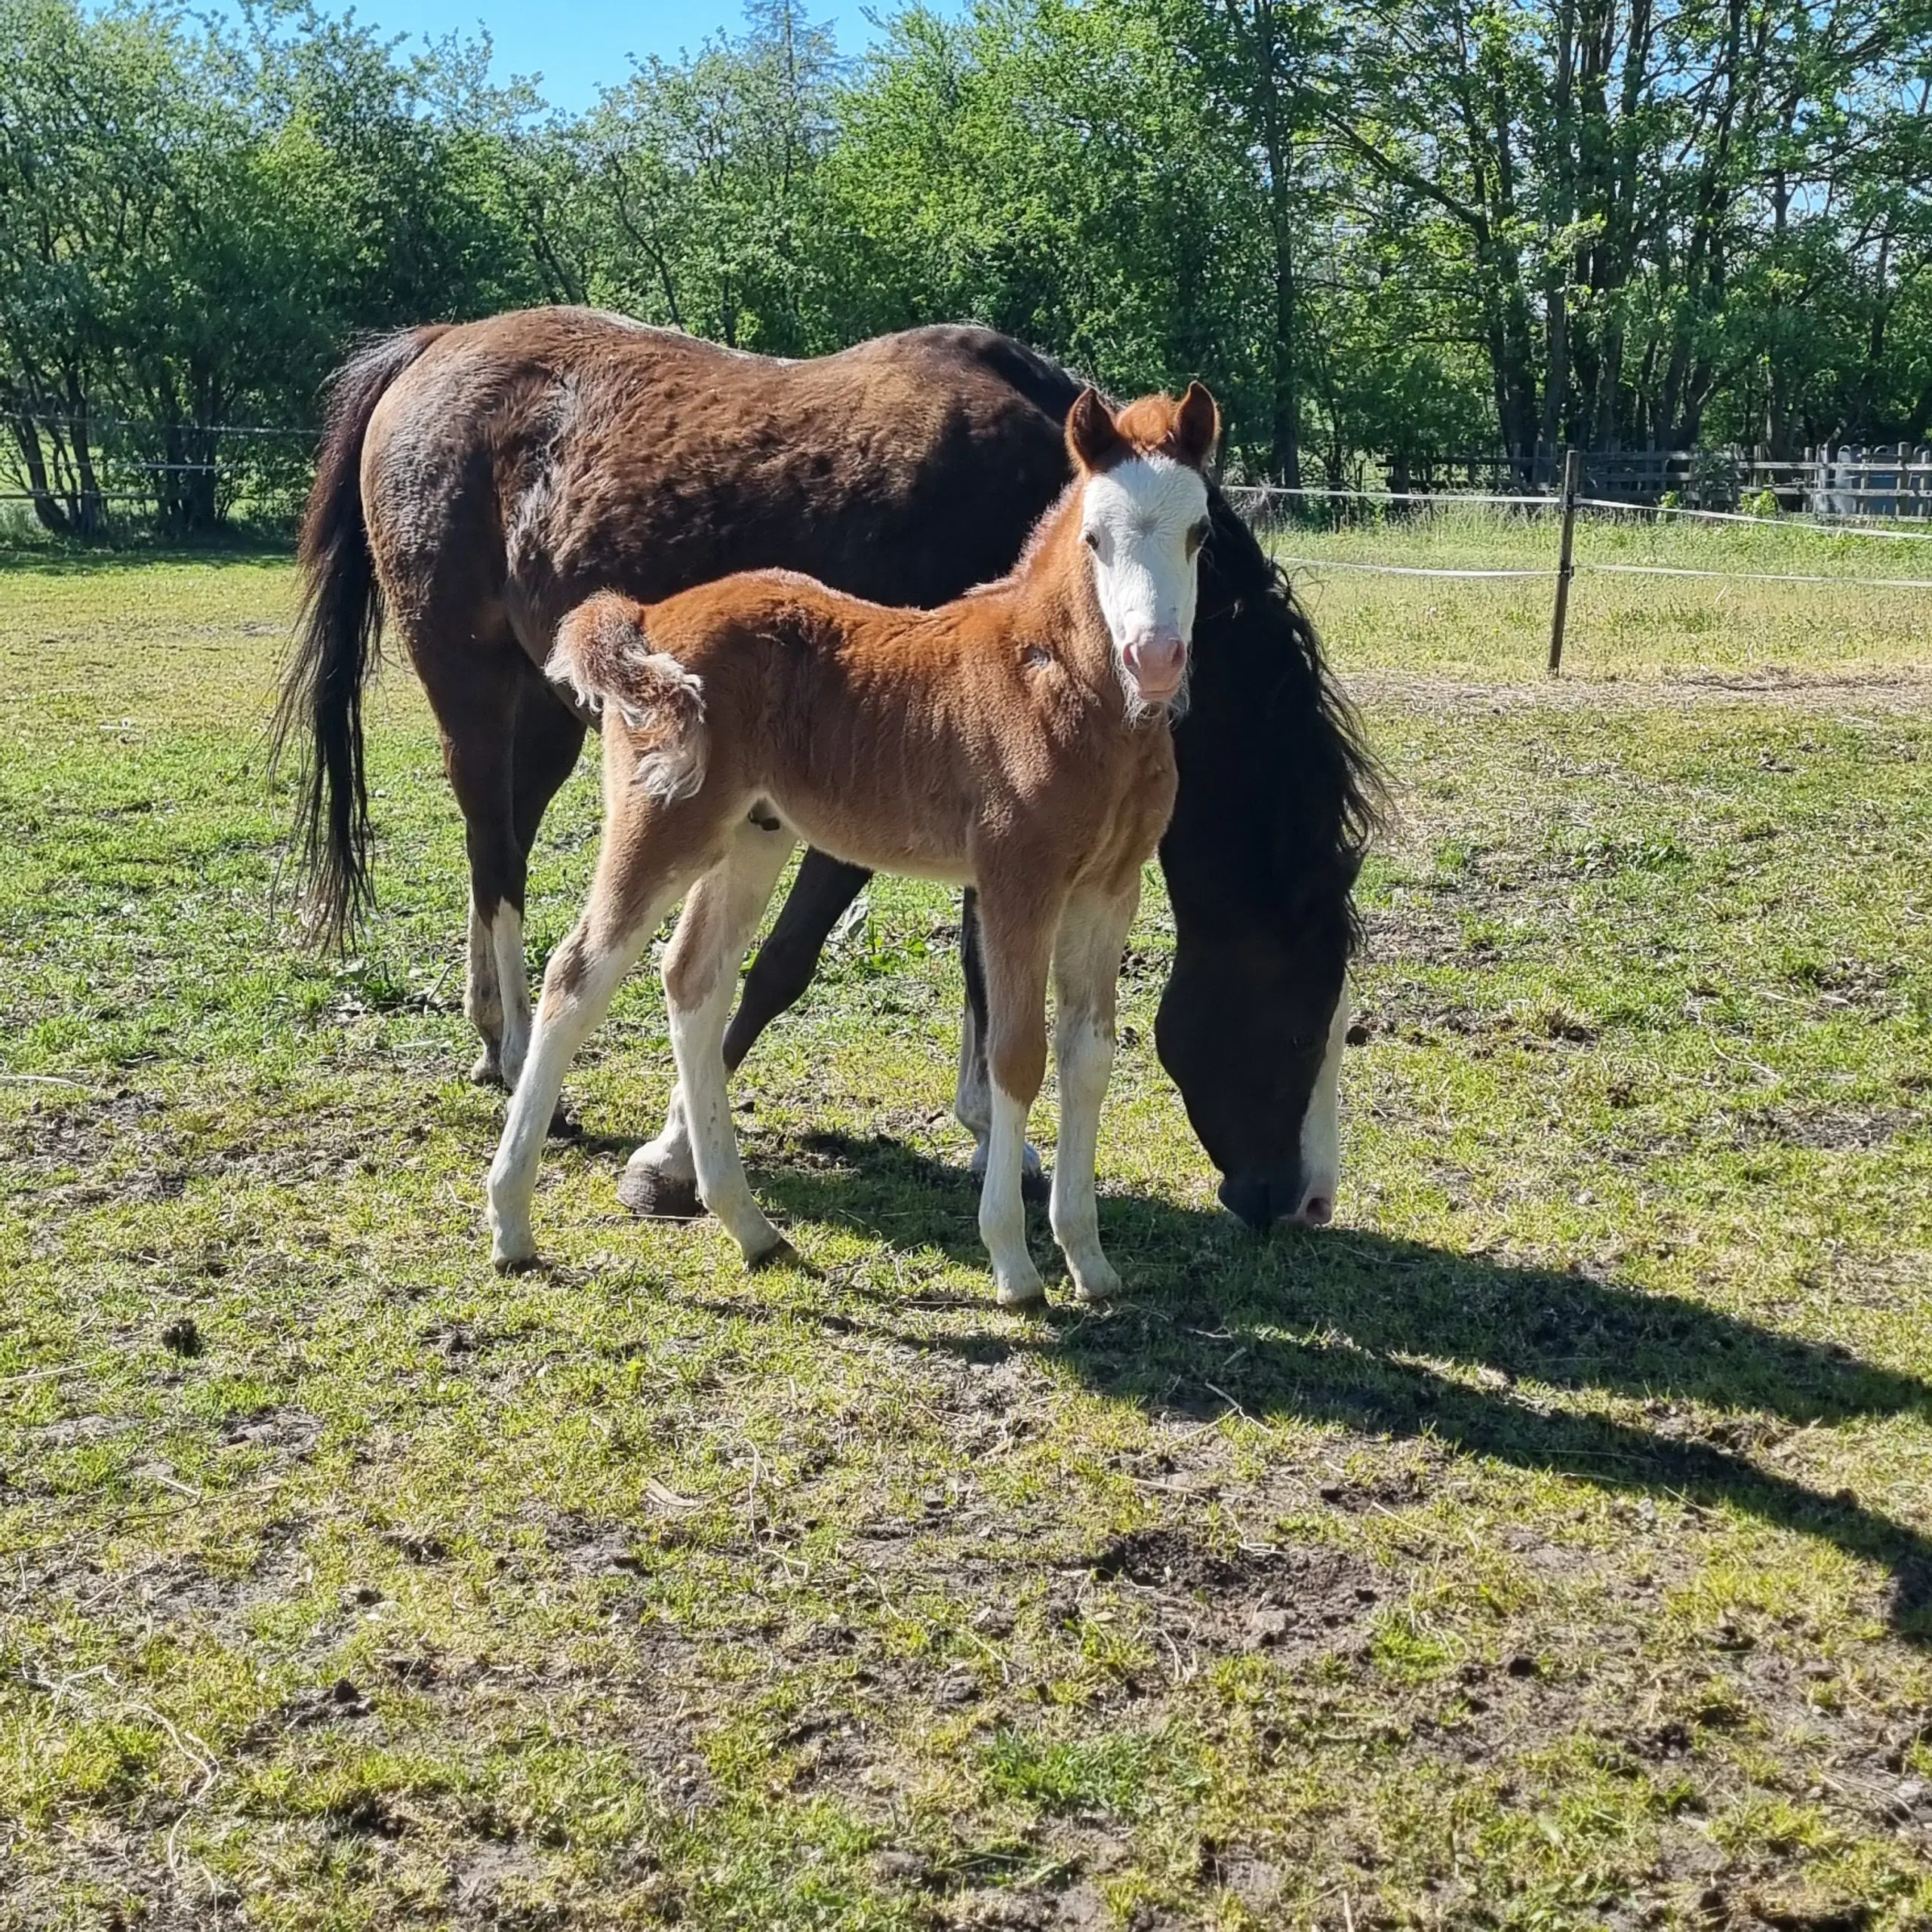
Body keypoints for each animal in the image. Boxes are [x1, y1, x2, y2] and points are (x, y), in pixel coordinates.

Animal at [487, 384, 1205, 1306]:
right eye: (1095, 538)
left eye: (1199, 533)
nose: (1155, 658)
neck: (1054, 680)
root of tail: (646, 615)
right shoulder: (1019, 880)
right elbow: (1016, 1055)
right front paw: (1013, 1264)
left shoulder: (1110, 890)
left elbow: (1089, 1056)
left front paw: (1090, 1259)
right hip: (661, 821)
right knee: (578, 974)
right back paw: (511, 1221)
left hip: (750, 838)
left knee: (692, 978)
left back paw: (750, 1227)